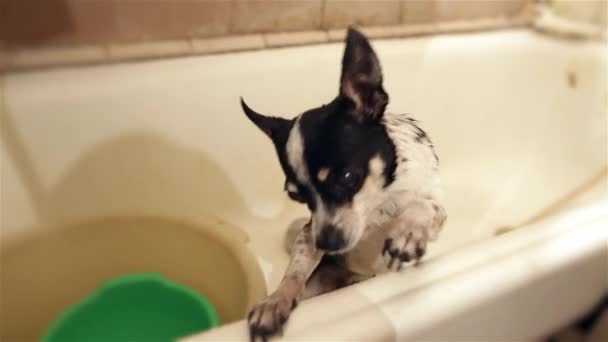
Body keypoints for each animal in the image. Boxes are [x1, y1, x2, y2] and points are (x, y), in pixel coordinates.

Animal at [241, 27, 446, 342]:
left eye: (347, 177)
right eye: (297, 197)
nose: (326, 244)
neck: (376, 205)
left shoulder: (434, 208)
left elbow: (423, 206)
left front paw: (408, 232)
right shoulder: (308, 233)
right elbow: (294, 271)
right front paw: (276, 300)